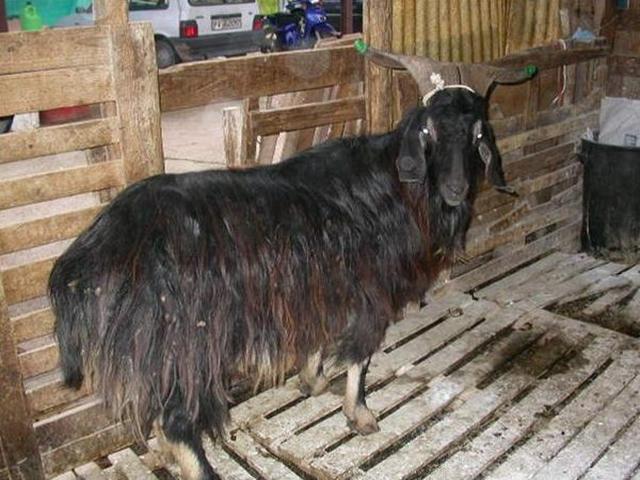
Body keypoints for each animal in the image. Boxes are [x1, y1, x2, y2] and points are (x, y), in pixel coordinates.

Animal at [50, 86, 515, 479]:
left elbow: (318, 339)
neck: (395, 187)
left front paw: (313, 382)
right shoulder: (371, 292)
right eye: (429, 131)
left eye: (477, 134)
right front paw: (359, 413)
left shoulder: (320, 287)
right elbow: (359, 357)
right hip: (185, 342)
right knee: (177, 418)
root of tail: (102, 242)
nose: (456, 188)